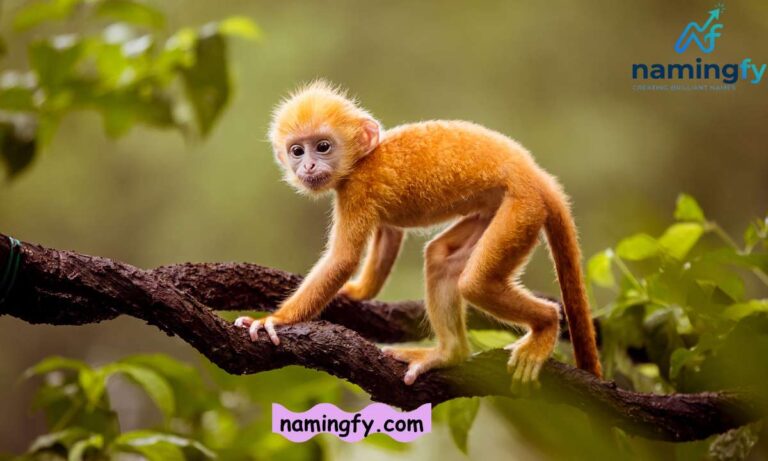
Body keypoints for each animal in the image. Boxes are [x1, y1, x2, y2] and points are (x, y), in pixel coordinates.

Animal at [234, 80, 601, 387]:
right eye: (297, 151)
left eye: (322, 147)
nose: (307, 166)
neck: (362, 159)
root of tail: (535, 175)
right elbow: (389, 233)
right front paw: (356, 292)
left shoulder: (358, 189)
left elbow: (343, 259)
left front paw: (275, 320)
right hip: (498, 210)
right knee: (441, 259)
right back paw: (450, 353)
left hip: (522, 208)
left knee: (476, 283)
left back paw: (546, 324)